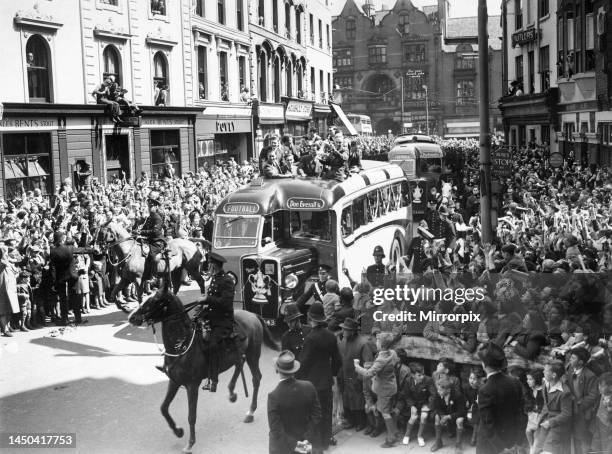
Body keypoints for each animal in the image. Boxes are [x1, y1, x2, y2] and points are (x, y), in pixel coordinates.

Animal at [130, 290, 282, 452]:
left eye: (155, 300)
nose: (132, 317)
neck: (181, 345)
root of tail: (253, 314)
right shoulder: (174, 381)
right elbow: (163, 408)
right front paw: (178, 431)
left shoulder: (192, 386)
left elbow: (191, 416)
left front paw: (190, 443)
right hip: (239, 354)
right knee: (239, 364)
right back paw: (231, 392)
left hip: (253, 354)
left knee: (256, 378)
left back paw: (250, 411)